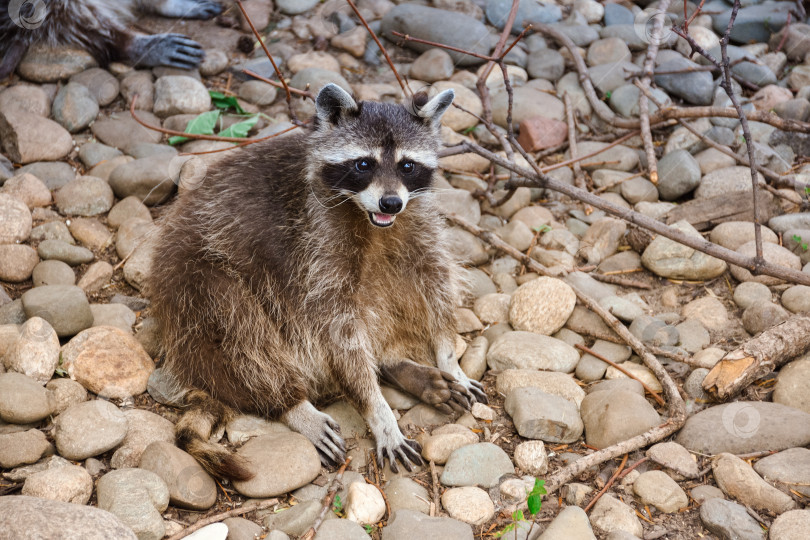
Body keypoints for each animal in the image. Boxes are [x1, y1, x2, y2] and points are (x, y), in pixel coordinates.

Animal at [147, 83, 486, 476]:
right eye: (364, 164)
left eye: (407, 165)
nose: (390, 203)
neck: (370, 220)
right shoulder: (313, 247)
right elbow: (334, 326)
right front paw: (378, 412)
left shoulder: (418, 220)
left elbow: (434, 279)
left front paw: (448, 358)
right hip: (190, 280)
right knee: (237, 327)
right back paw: (291, 403)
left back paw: (393, 363)